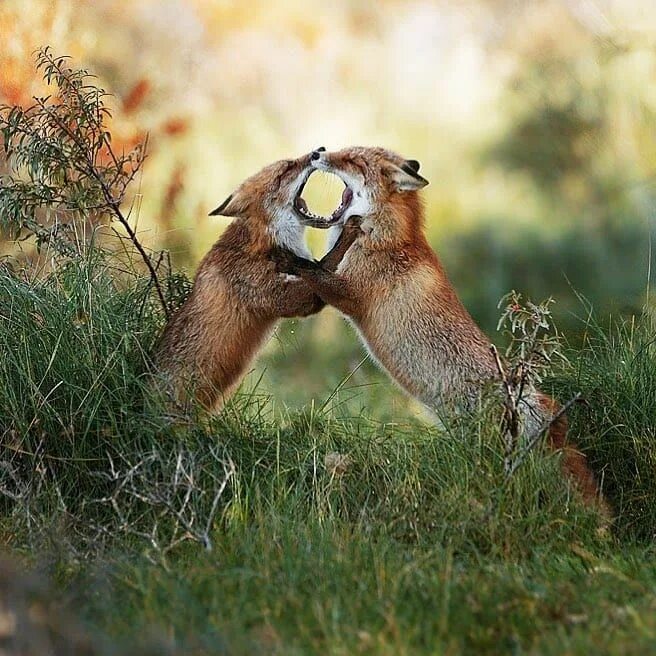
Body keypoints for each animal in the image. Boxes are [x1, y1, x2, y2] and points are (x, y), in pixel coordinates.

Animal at [152, 151, 362, 412]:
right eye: (285, 170)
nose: (318, 150)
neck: (261, 243)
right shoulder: (276, 295)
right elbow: (322, 265)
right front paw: (347, 234)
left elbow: (315, 267)